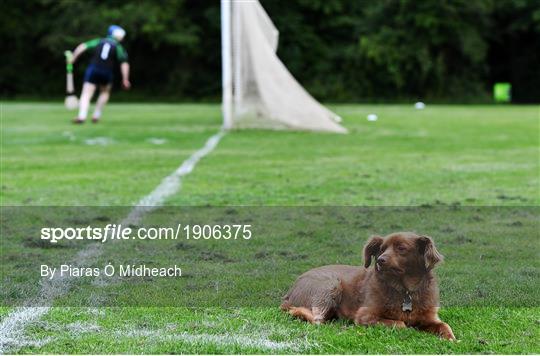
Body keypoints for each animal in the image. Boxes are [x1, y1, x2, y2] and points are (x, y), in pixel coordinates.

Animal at [282, 232, 456, 340]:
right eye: (382, 249)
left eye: (401, 248)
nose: (380, 260)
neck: (405, 291)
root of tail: (290, 291)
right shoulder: (365, 315)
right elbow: (400, 324)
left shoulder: (430, 317)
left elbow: (444, 325)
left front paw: (451, 339)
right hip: (331, 284)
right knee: (315, 320)